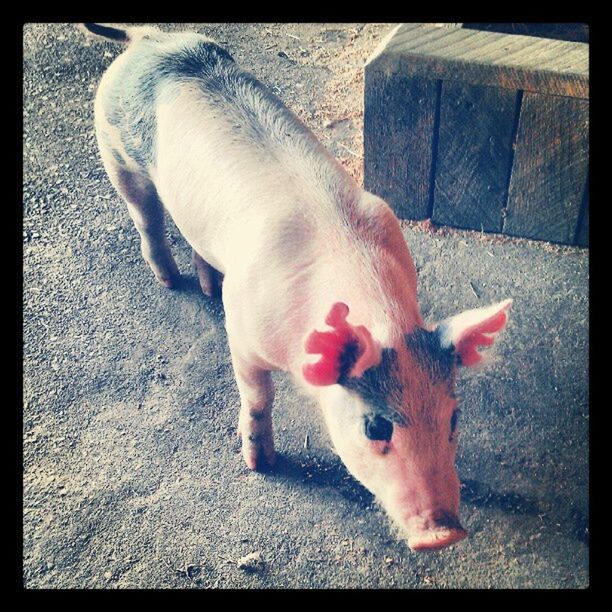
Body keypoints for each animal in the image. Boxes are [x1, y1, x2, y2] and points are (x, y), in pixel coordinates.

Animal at [81, 23, 512, 552]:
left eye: (453, 418)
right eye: (376, 426)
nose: (445, 534)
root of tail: (147, 39)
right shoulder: (243, 332)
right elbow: (257, 397)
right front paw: (260, 464)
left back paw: (207, 286)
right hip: (117, 154)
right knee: (148, 218)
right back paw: (169, 281)